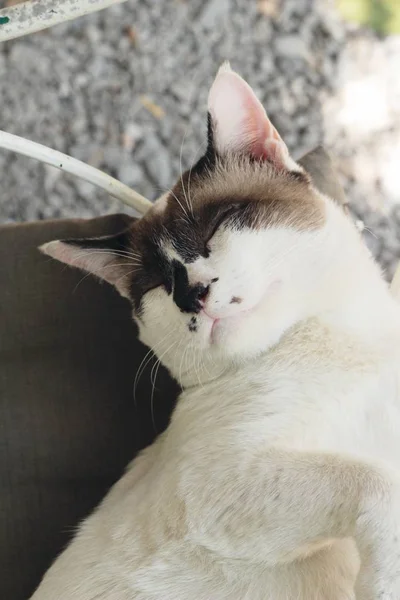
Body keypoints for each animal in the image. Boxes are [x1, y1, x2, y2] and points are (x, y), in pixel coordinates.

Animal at [31, 63, 400, 596]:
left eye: (216, 227)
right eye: (159, 286)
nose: (191, 294)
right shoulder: (222, 487)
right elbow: (377, 482)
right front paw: (383, 582)